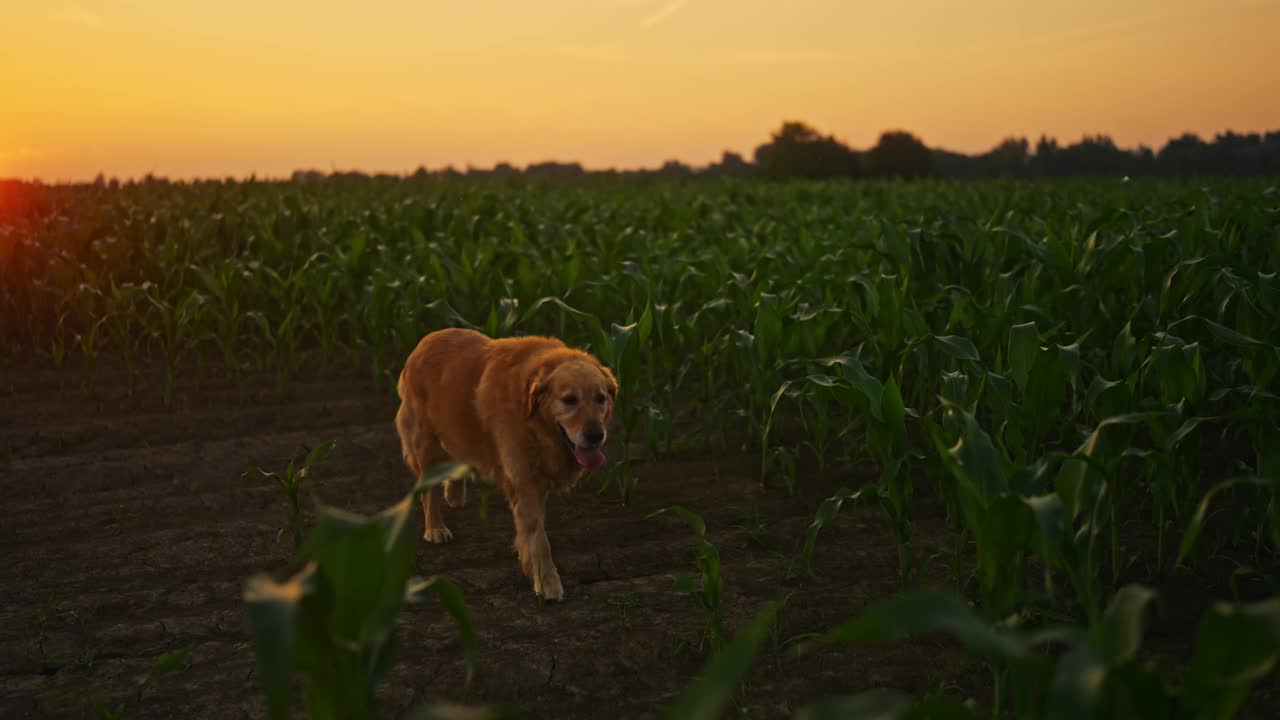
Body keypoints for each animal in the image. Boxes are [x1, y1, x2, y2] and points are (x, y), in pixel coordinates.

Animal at [399, 327, 619, 597]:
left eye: (600, 398)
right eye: (569, 400)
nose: (596, 435)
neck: (535, 421)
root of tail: (427, 338)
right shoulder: (524, 482)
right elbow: (539, 540)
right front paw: (547, 582)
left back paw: (455, 494)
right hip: (425, 442)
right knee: (427, 489)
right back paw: (435, 528)